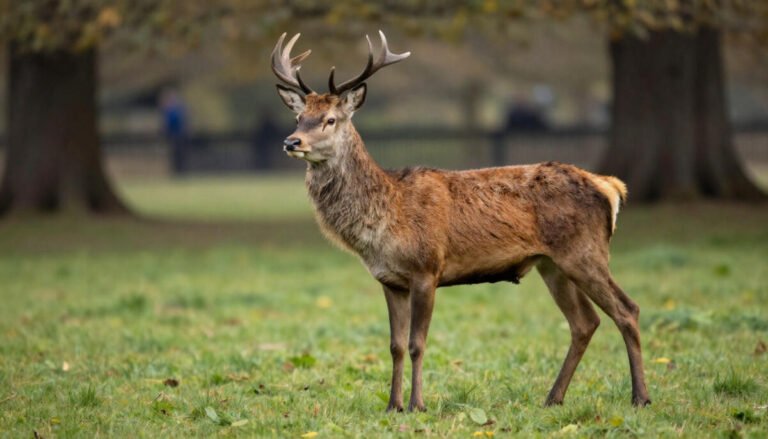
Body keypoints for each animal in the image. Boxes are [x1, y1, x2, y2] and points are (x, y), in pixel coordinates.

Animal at [271, 31, 651, 411]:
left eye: (330, 119)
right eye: (299, 117)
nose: (291, 141)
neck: (385, 220)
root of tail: (610, 186)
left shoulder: (427, 269)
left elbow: (417, 344)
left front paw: (417, 405)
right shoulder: (390, 281)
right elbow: (394, 346)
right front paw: (393, 405)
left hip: (585, 252)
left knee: (627, 309)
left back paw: (640, 397)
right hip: (552, 264)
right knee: (584, 322)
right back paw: (553, 398)